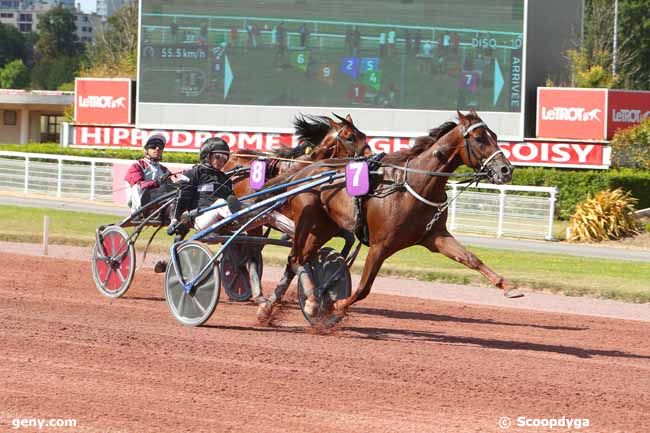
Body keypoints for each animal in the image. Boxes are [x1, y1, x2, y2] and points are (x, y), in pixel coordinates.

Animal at [260, 109, 520, 322]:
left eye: (494, 135)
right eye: (479, 138)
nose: (506, 170)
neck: (413, 184)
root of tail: (304, 170)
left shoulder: (435, 237)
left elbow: (470, 258)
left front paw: (509, 286)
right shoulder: (380, 245)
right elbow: (363, 288)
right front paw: (337, 305)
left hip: (324, 227)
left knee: (298, 260)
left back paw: (281, 307)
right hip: (307, 219)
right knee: (296, 259)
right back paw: (310, 302)